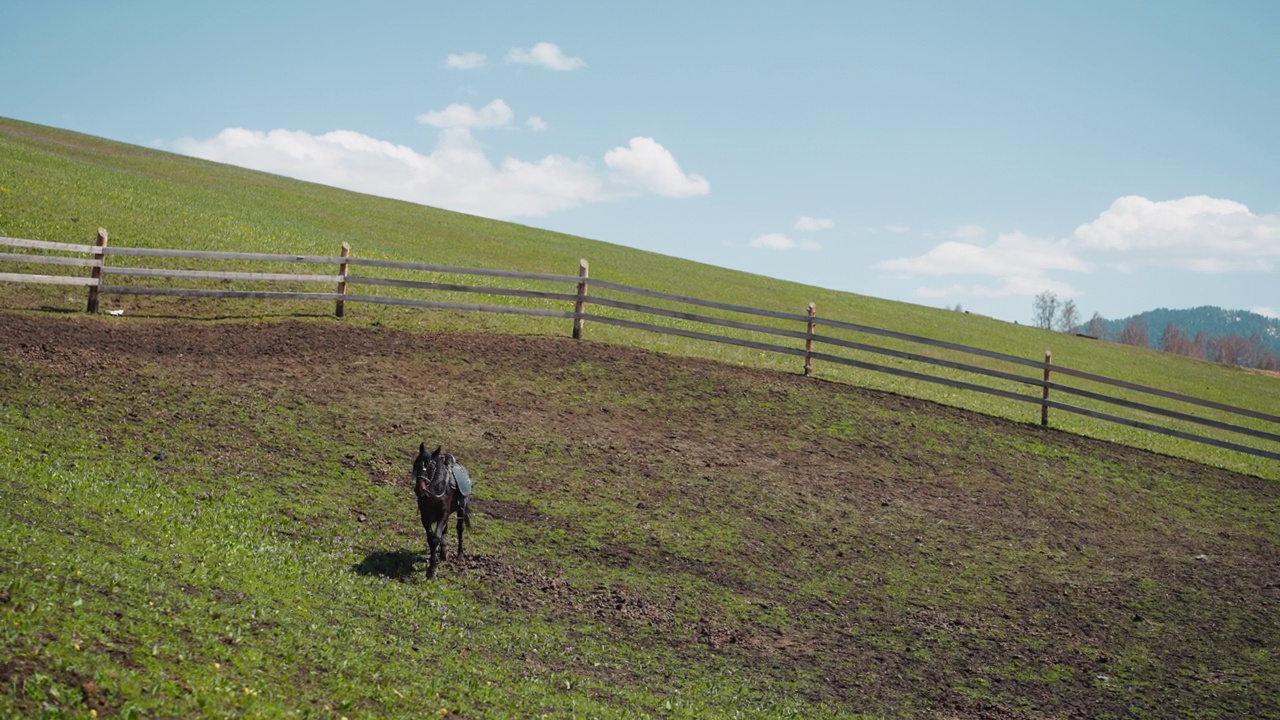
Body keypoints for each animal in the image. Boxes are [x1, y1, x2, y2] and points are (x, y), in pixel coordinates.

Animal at [412, 440, 473, 573]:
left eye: (432, 467)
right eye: (417, 464)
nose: (419, 489)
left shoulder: (442, 515)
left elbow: (435, 538)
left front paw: (431, 570)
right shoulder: (425, 516)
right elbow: (431, 538)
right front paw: (434, 562)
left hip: (461, 509)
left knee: (459, 529)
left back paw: (459, 556)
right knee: (445, 531)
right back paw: (443, 554)